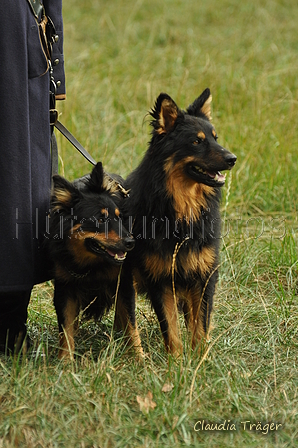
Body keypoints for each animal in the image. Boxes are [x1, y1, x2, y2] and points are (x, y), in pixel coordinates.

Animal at [47, 163, 143, 358]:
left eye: (119, 217)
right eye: (100, 219)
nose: (131, 243)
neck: (92, 263)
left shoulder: (124, 283)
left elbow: (131, 324)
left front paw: (139, 357)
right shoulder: (64, 288)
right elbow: (66, 328)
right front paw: (65, 361)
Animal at [120, 89, 236, 356]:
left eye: (215, 138)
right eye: (196, 142)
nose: (233, 158)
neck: (183, 210)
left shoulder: (203, 276)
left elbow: (199, 326)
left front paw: (200, 359)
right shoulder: (161, 280)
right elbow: (171, 330)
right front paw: (176, 361)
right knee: (128, 320)